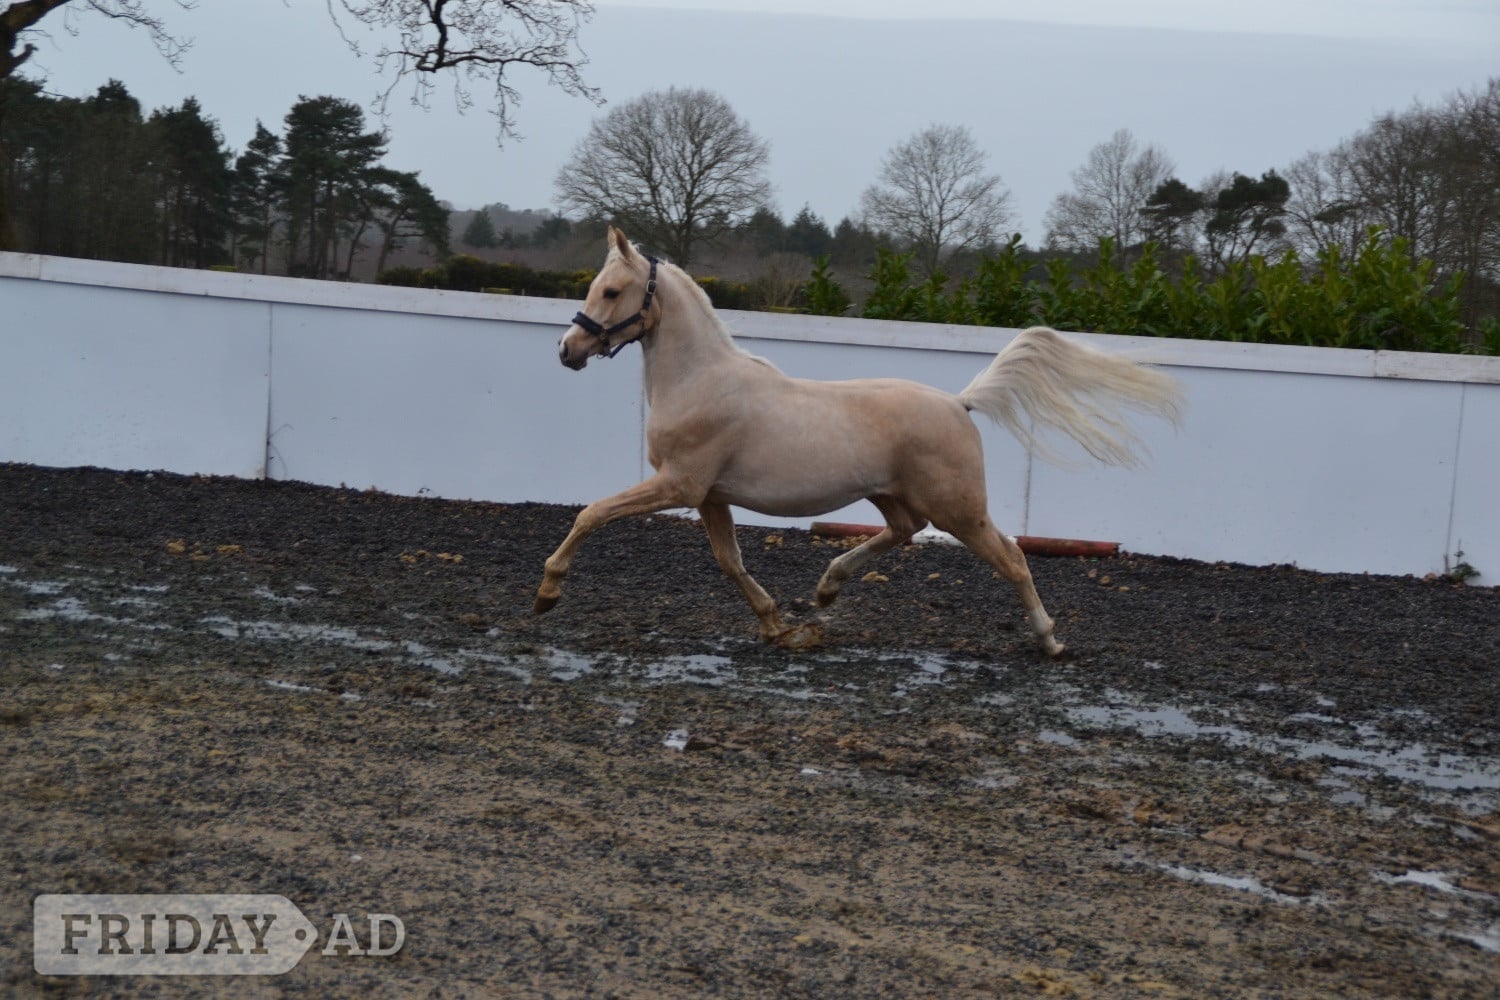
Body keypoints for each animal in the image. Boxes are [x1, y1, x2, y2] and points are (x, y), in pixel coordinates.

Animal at [534, 227, 1183, 657]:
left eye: (611, 292)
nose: (567, 350)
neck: (700, 380)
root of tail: (959, 402)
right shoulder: (710, 495)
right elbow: (730, 562)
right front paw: (779, 625)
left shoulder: (679, 484)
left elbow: (592, 513)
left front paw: (547, 592)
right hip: (891, 495)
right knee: (904, 532)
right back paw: (826, 590)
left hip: (960, 509)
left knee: (1012, 557)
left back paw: (1049, 641)